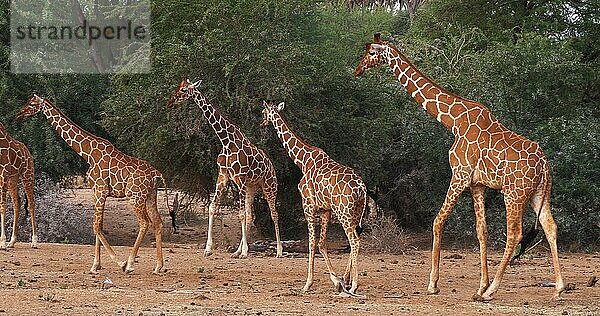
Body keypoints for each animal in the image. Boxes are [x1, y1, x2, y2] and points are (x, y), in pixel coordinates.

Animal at [0, 121, 37, 249]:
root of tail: (29, 153)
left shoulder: (3, 175)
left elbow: (2, 206)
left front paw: (2, 243)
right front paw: (5, 242)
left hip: (27, 175)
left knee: (31, 203)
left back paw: (34, 241)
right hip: (13, 179)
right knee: (17, 202)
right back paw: (12, 242)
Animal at [15, 94, 171, 274]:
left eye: (32, 104)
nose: (18, 114)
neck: (88, 154)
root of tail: (156, 174)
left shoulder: (100, 189)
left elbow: (96, 227)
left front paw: (119, 262)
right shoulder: (96, 191)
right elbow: (99, 225)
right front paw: (95, 265)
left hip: (135, 197)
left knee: (145, 223)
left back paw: (130, 263)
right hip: (151, 196)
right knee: (158, 223)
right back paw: (158, 266)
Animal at [166, 79, 284, 260]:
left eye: (184, 90)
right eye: (179, 87)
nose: (170, 102)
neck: (226, 141)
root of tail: (271, 166)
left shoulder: (240, 179)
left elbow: (240, 214)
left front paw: (245, 252)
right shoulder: (223, 176)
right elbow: (213, 208)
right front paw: (208, 249)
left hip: (269, 186)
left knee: (274, 213)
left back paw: (278, 251)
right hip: (251, 187)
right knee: (251, 215)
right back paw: (237, 251)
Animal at [262, 100, 366, 298]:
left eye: (263, 112)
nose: (262, 123)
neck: (303, 161)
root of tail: (361, 189)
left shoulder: (308, 206)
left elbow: (311, 244)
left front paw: (308, 283)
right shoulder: (325, 210)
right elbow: (322, 243)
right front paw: (336, 281)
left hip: (344, 213)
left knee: (354, 241)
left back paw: (354, 285)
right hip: (356, 213)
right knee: (355, 240)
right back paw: (347, 279)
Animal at [354, 32, 564, 302]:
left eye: (371, 53)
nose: (358, 70)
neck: (453, 122)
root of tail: (545, 165)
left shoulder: (459, 175)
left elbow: (437, 221)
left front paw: (434, 284)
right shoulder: (477, 184)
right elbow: (481, 230)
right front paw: (480, 285)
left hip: (514, 193)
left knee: (515, 233)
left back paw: (493, 291)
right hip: (539, 193)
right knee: (550, 226)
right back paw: (558, 287)